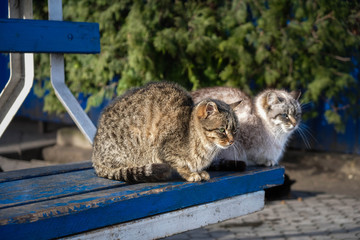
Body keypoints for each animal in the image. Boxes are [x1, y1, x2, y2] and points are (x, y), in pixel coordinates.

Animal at [91, 81, 240, 183]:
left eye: (235, 130)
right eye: (222, 130)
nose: (232, 141)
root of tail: (95, 158)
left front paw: (200, 171)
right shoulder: (164, 150)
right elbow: (180, 164)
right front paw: (191, 174)